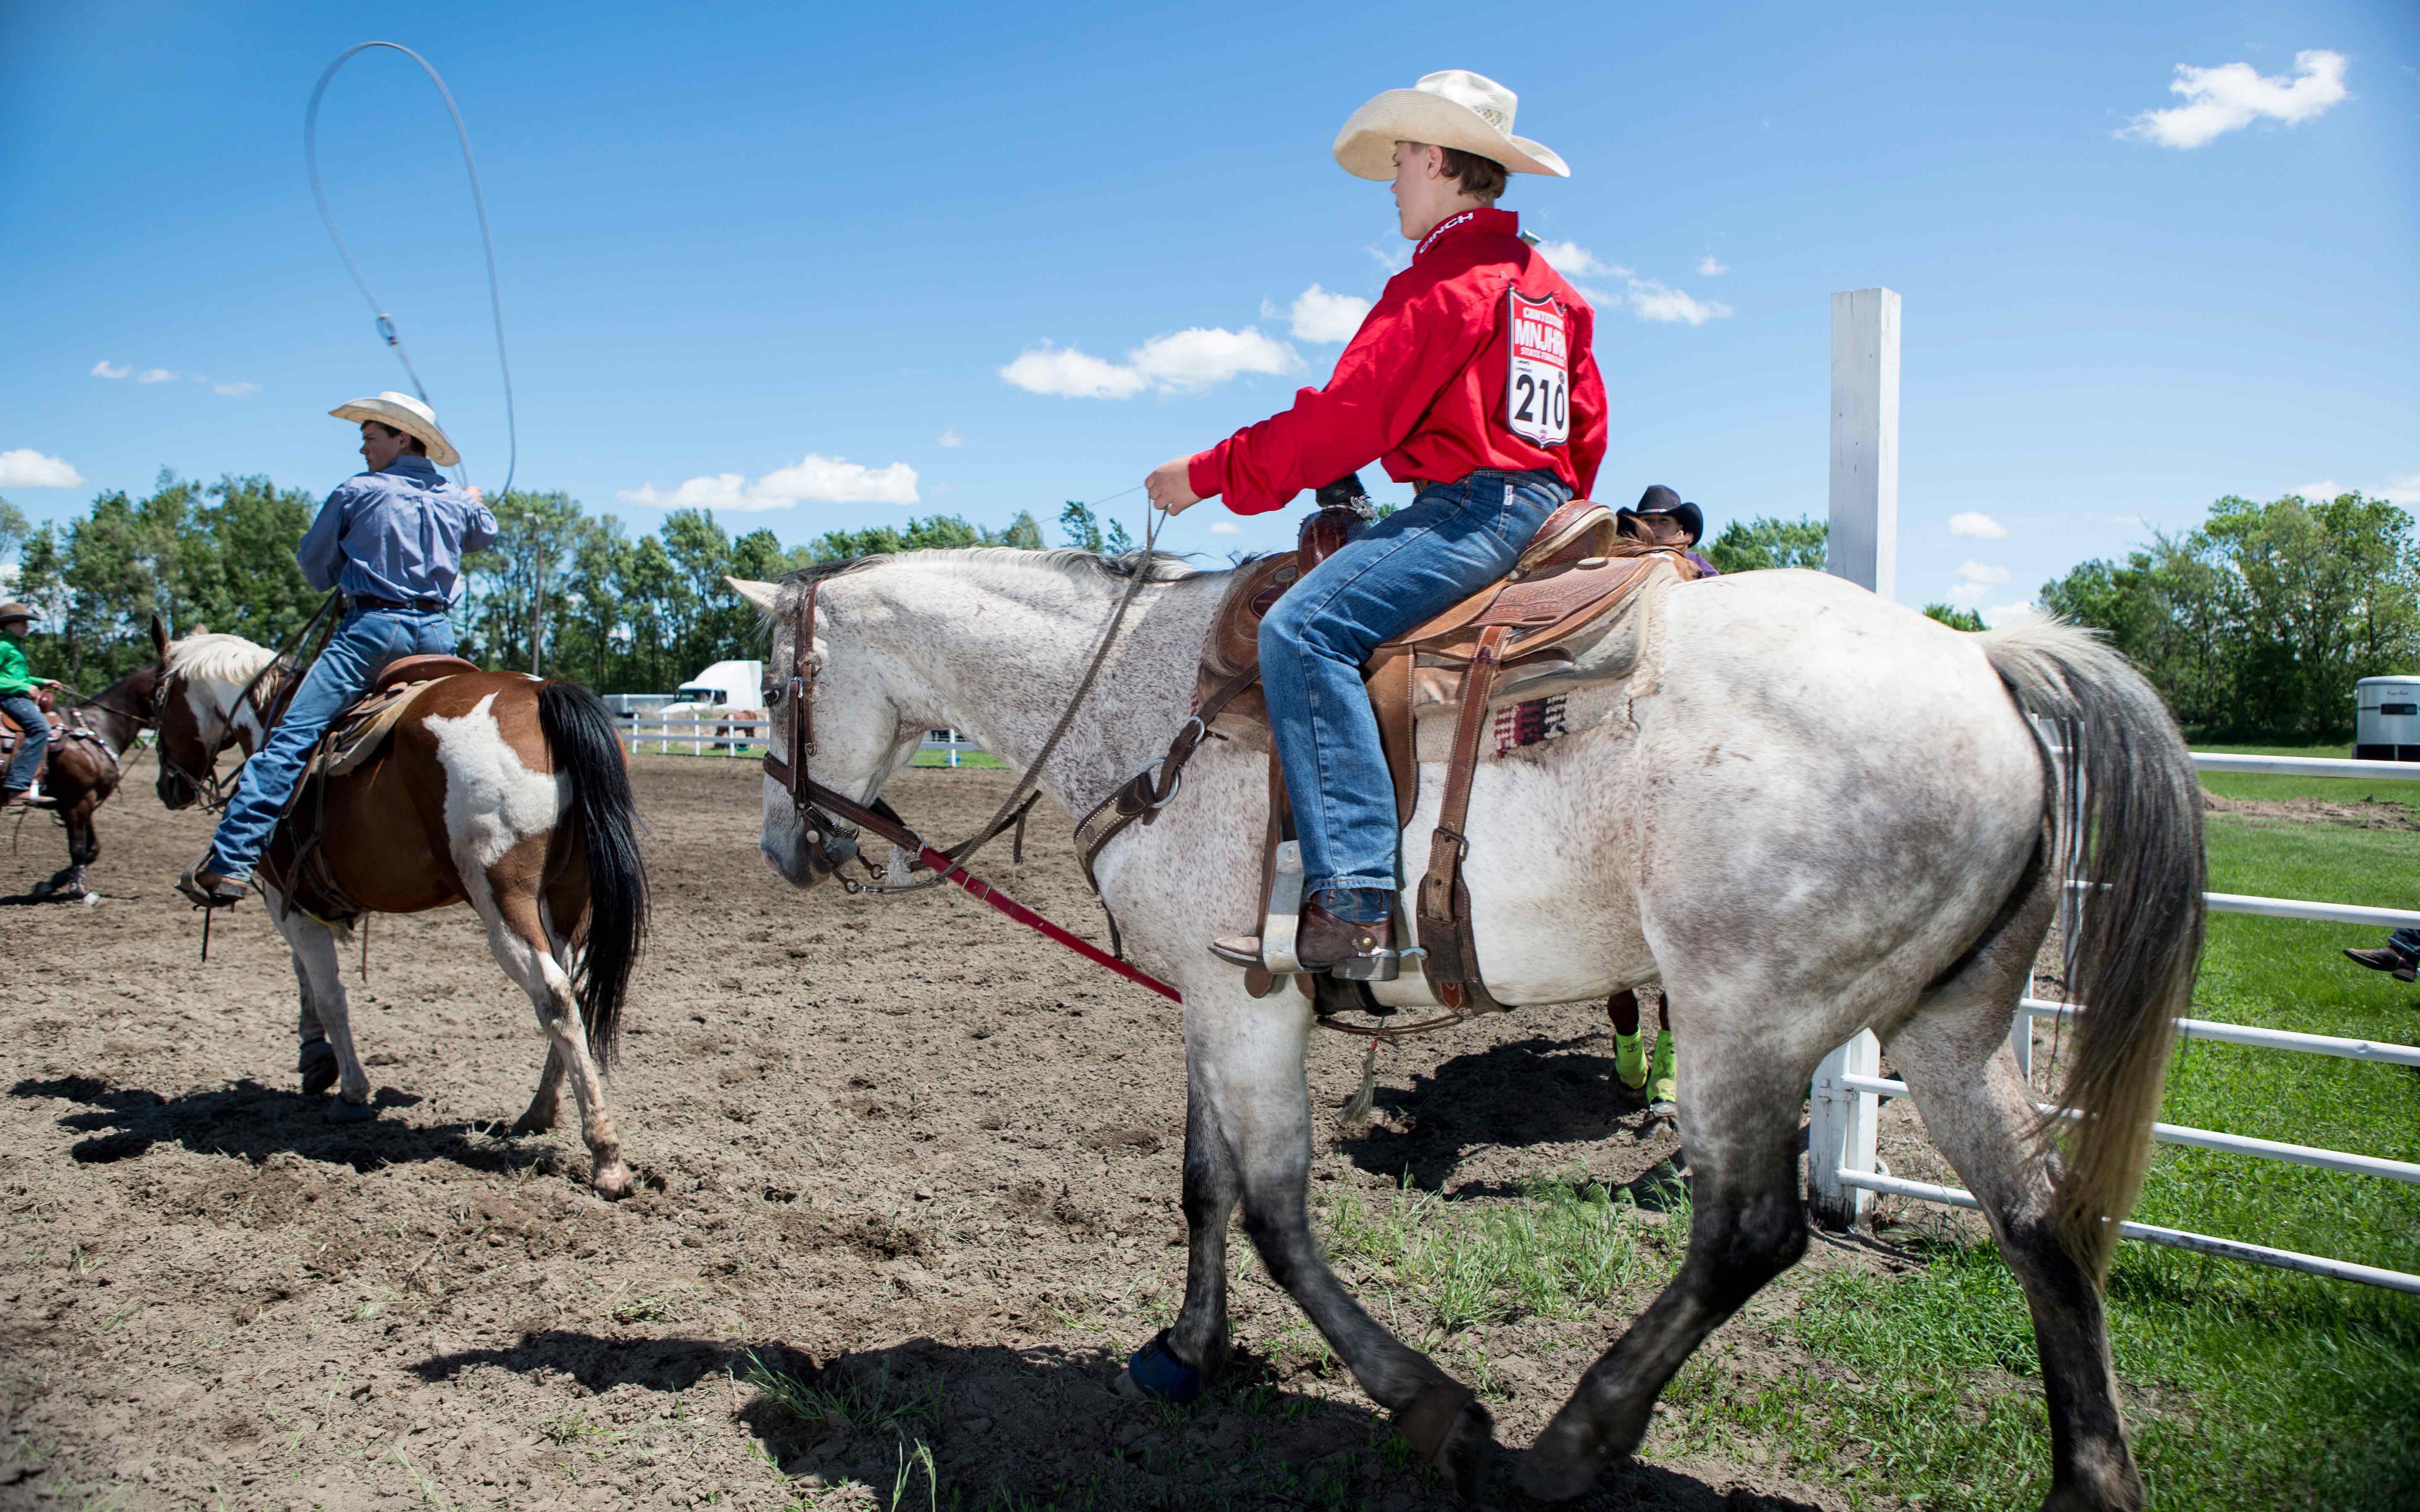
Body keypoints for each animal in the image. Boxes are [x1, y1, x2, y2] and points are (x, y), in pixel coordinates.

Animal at [146, 619, 648, 1195]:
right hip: (570, 898)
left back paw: (606, 1158)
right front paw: (315, 1061)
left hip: (505, 900)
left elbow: (329, 995)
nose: (169, 785)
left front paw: (349, 1091)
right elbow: (305, 978)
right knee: (577, 988)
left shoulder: (286, 901)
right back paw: (538, 1113)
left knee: (555, 996)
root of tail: (542, 695)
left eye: (159, 699)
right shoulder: (301, 906)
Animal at [726, 551, 2207, 1509]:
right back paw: (2093, 1481)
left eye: (773, 690)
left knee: (1750, 1234)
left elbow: (1276, 1211)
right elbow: (1205, 1186)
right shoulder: (1212, 1001)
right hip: (1953, 1023)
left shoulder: (1248, 1004)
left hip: (1749, 1022)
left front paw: (1430, 1406)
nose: (785, 848)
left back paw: (1569, 1446)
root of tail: (1982, 660)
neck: (1146, 698)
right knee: (2038, 1215)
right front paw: (1187, 1353)